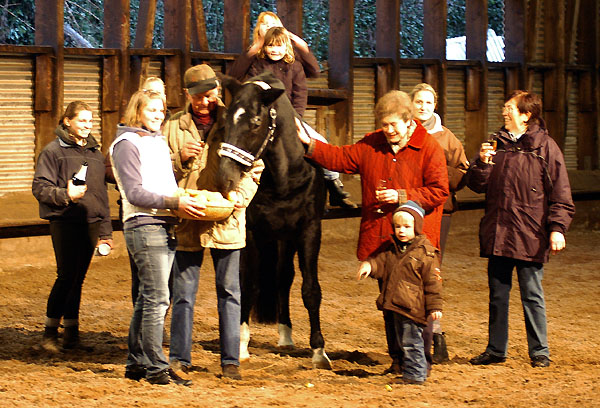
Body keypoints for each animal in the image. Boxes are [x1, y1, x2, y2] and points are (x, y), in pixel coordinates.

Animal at [216, 71, 330, 368]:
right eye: (225, 122)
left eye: (256, 123)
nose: (226, 178)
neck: (284, 177)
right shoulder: (253, 232)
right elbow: (249, 286)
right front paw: (241, 346)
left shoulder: (309, 230)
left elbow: (310, 290)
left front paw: (319, 351)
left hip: (286, 239)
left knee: (283, 278)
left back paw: (286, 336)